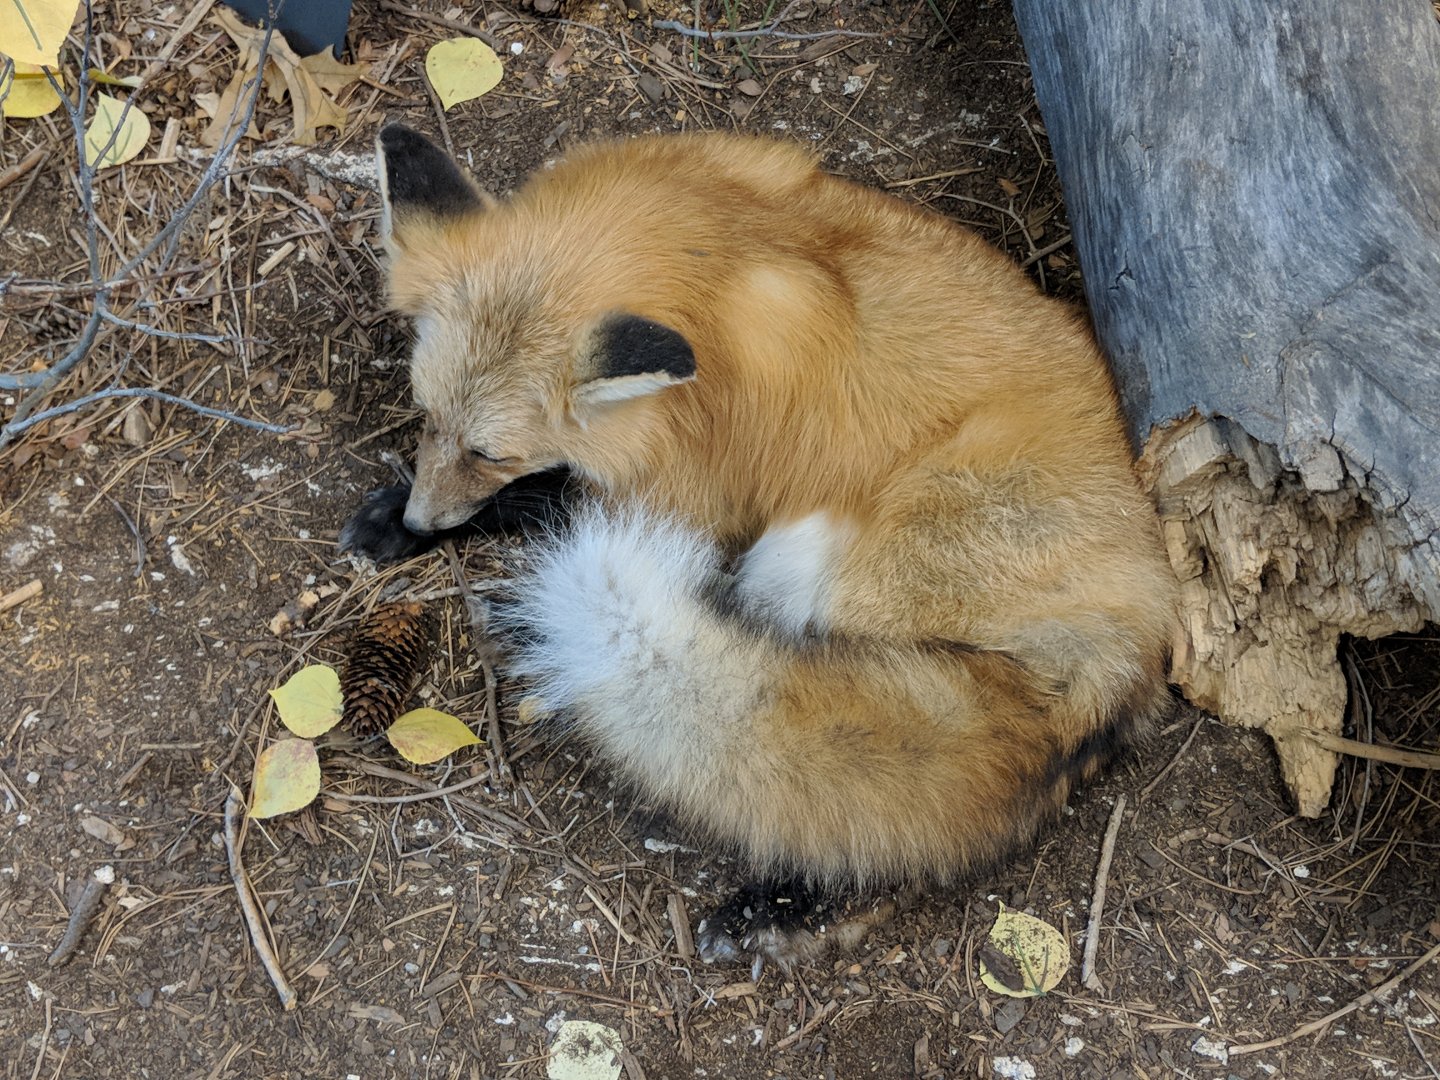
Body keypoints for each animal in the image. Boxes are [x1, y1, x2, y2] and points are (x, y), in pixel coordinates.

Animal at [342, 124, 1178, 966]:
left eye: (492, 453)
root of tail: (1140, 630)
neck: (700, 246)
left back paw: (776, 907)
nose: (423, 524)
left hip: (822, 568)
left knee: (881, 821)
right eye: (426, 415)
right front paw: (393, 522)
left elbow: (556, 495)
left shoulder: (695, 491)